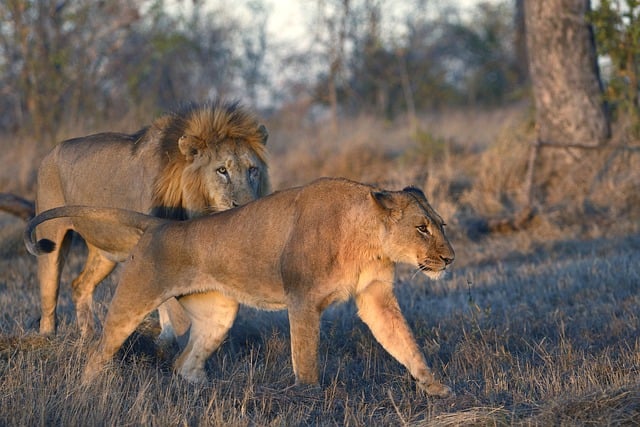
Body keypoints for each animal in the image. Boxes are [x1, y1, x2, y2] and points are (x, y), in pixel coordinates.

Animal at [26, 178, 456, 398]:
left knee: (184, 363)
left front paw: (436, 388)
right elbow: (306, 357)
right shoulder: (302, 299)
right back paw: (87, 390)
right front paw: (310, 399)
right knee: (98, 353)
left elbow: (404, 342)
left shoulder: (375, 296)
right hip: (133, 300)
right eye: (422, 228)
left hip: (220, 313)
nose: (450, 258)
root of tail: (160, 224)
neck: (368, 242)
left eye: (440, 225)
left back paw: (206, 394)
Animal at [33, 100, 268, 342]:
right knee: (49, 289)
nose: (248, 208)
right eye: (222, 170)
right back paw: (46, 336)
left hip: (105, 251)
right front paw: (171, 339)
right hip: (49, 236)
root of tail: (50, 153)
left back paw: (88, 336)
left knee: (80, 286)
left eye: (253, 170)